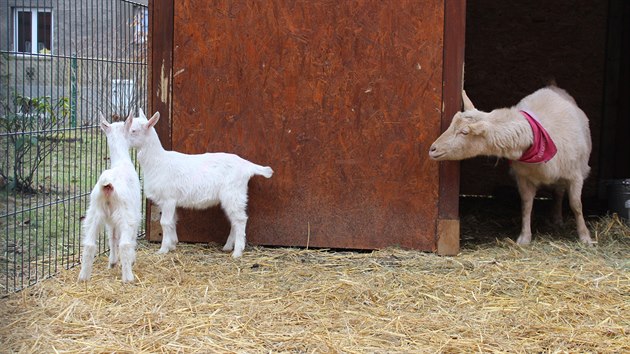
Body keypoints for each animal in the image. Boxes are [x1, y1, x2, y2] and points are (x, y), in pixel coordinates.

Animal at [126, 109, 274, 258]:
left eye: (133, 130)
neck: (157, 162)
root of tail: (247, 166)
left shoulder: (169, 198)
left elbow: (165, 222)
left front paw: (163, 249)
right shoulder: (168, 201)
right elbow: (173, 221)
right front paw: (173, 244)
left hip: (233, 193)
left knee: (240, 220)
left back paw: (237, 252)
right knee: (234, 220)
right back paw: (227, 247)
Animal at [432, 86, 596, 246]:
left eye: (465, 132)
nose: (432, 149)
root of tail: (553, 86)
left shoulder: (575, 175)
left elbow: (576, 205)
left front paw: (585, 237)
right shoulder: (523, 176)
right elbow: (526, 204)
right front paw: (524, 237)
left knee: (559, 193)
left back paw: (557, 219)